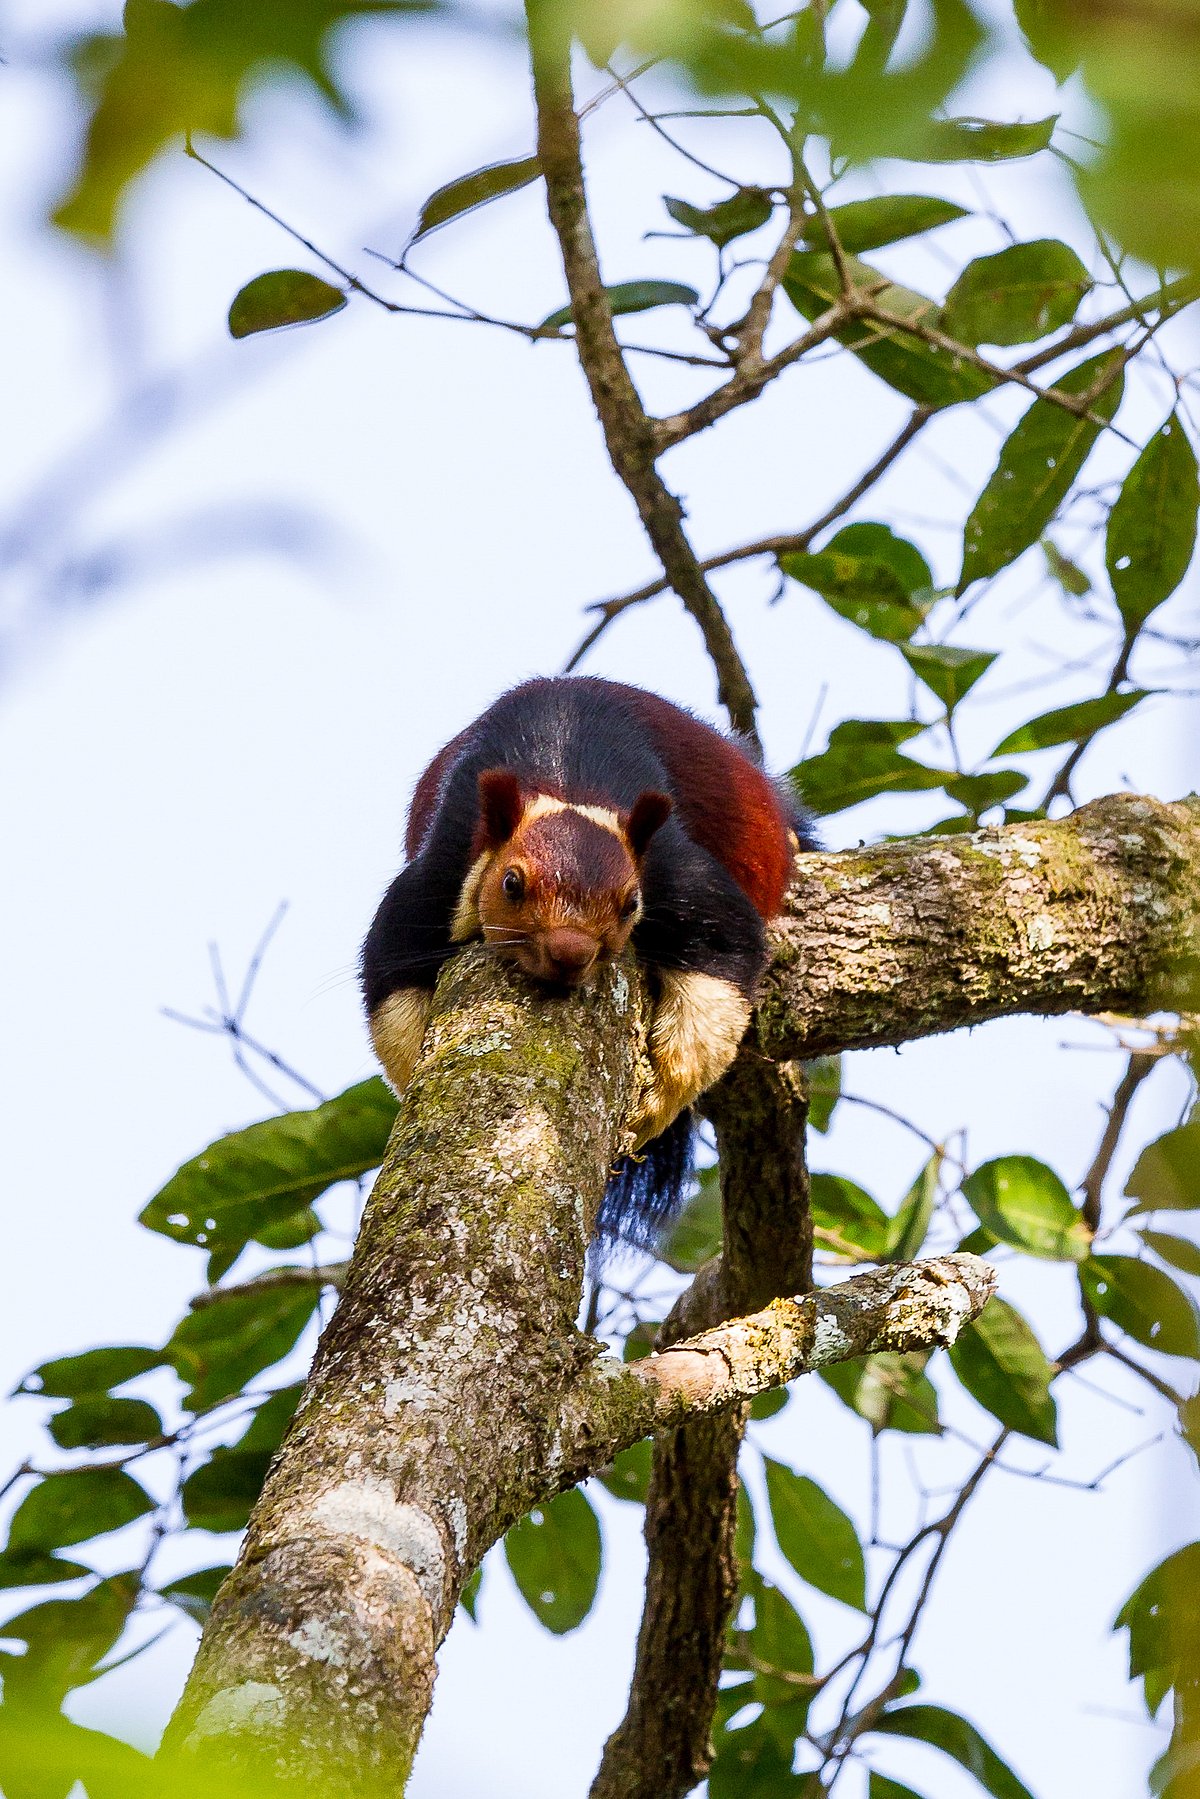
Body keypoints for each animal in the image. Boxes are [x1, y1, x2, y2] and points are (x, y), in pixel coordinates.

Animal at [360, 676, 810, 1243]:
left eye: (631, 904)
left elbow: (722, 967)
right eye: (511, 884)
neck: (567, 783)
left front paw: (649, 1110)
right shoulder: (435, 879)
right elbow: (390, 982)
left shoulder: (679, 876)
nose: (570, 952)